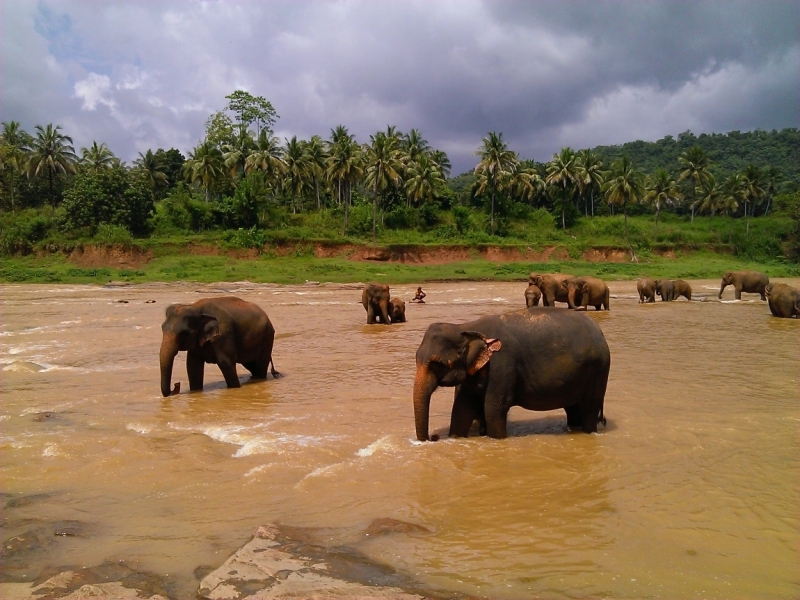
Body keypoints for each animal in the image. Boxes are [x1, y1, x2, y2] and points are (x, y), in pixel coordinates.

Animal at [412, 304, 612, 440]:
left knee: (589, 409)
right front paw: (455, 437)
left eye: (437, 364)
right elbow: (462, 409)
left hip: (599, 370)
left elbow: (493, 409)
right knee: (573, 409)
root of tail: (600, 332)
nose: (433, 437)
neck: (465, 326)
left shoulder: (503, 365)